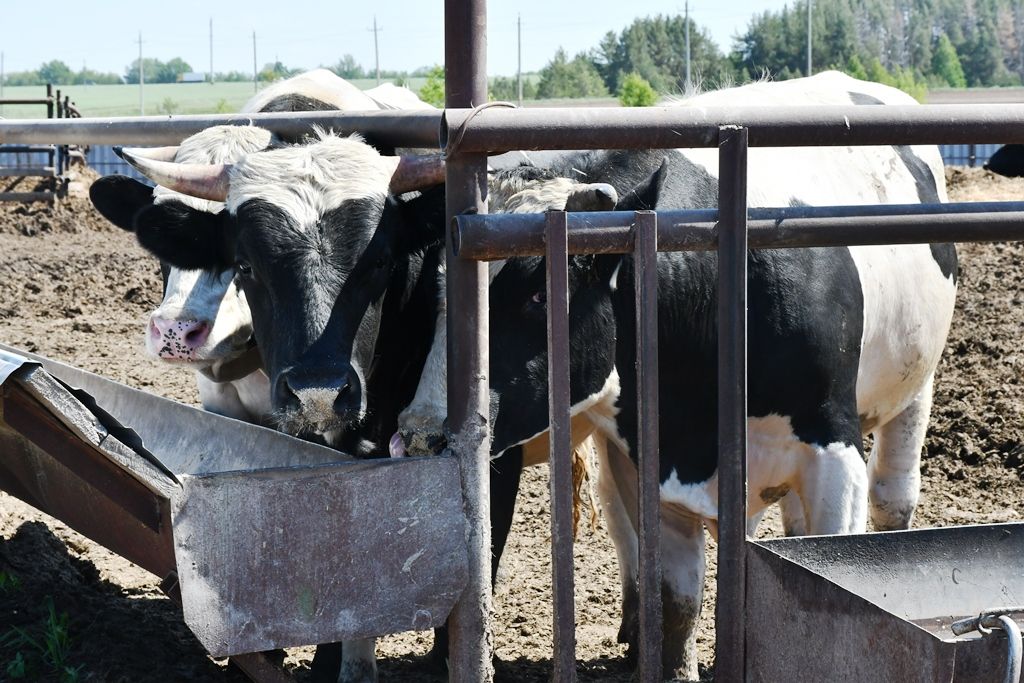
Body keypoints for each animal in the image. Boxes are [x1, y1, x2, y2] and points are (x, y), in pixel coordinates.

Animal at [114, 72, 958, 679]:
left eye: (381, 261)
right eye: (247, 263)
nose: (421, 429)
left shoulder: (829, 450)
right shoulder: (649, 456)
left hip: (908, 398)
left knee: (891, 500)